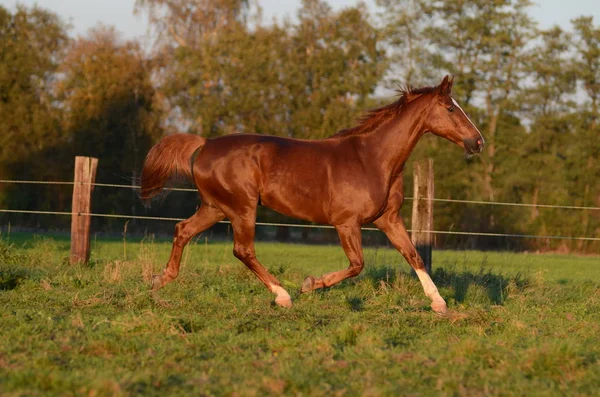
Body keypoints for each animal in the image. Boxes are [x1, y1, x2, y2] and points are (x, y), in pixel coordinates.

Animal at [139, 76, 482, 314]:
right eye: (451, 108)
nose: (477, 142)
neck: (372, 158)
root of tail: (206, 143)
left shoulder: (388, 219)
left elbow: (414, 255)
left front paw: (439, 303)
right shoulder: (347, 222)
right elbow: (357, 264)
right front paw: (309, 285)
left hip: (215, 207)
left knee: (183, 230)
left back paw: (159, 281)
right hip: (241, 208)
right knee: (242, 250)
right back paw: (283, 296)